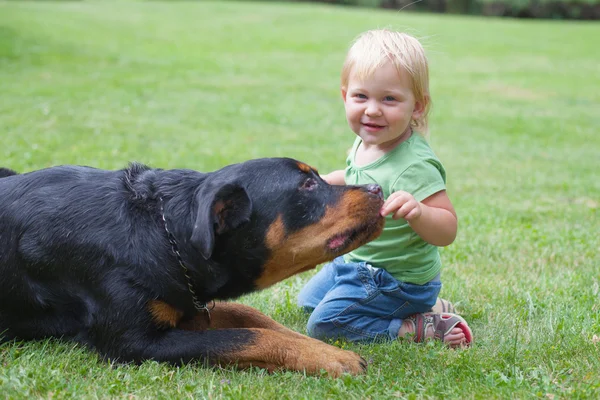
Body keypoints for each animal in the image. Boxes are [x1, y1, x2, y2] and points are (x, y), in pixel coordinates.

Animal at [0, 159, 384, 376]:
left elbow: (251, 316)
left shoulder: (187, 302)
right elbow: (245, 337)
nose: (377, 187)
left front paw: (321, 348)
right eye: (307, 184)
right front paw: (330, 358)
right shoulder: (134, 344)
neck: (163, 232)